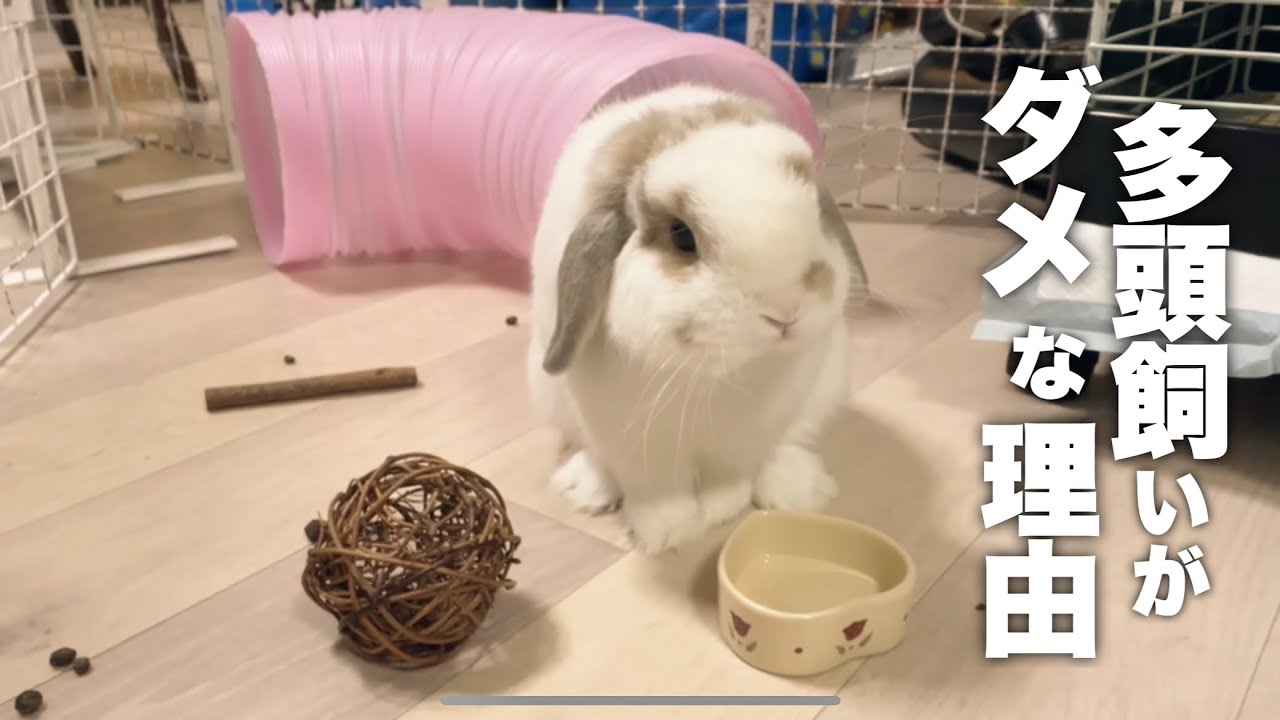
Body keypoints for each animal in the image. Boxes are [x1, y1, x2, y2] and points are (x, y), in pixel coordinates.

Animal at [527, 83, 870, 555]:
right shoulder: (634, 440)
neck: (716, 377)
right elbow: (657, 489)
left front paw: (721, 510)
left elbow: (730, 477)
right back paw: (589, 491)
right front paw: (667, 533)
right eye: (681, 236)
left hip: (826, 385)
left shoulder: (745, 434)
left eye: (816, 215)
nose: (785, 311)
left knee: (791, 442)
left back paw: (798, 491)